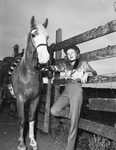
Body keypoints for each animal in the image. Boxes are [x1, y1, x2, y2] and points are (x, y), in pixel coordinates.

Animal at [8, 15, 49, 149]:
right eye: (33, 35)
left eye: (47, 36)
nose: (44, 59)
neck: (28, 73)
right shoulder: (20, 99)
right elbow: (22, 120)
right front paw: (21, 143)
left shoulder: (35, 99)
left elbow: (31, 119)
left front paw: (32, 141)